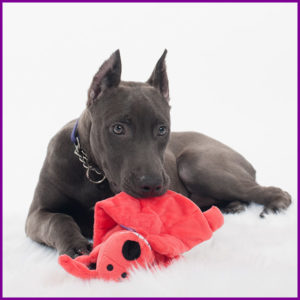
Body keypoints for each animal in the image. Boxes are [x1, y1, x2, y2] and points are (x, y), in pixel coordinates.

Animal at [24, 50, 292, 256]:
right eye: (118, 128)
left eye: (162, 129)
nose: (152, 184)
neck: (93, 171)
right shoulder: (37, 214)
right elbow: (58, 219)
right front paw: (77, 244)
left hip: (197, 164)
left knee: (272, 191)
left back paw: (273, 206)